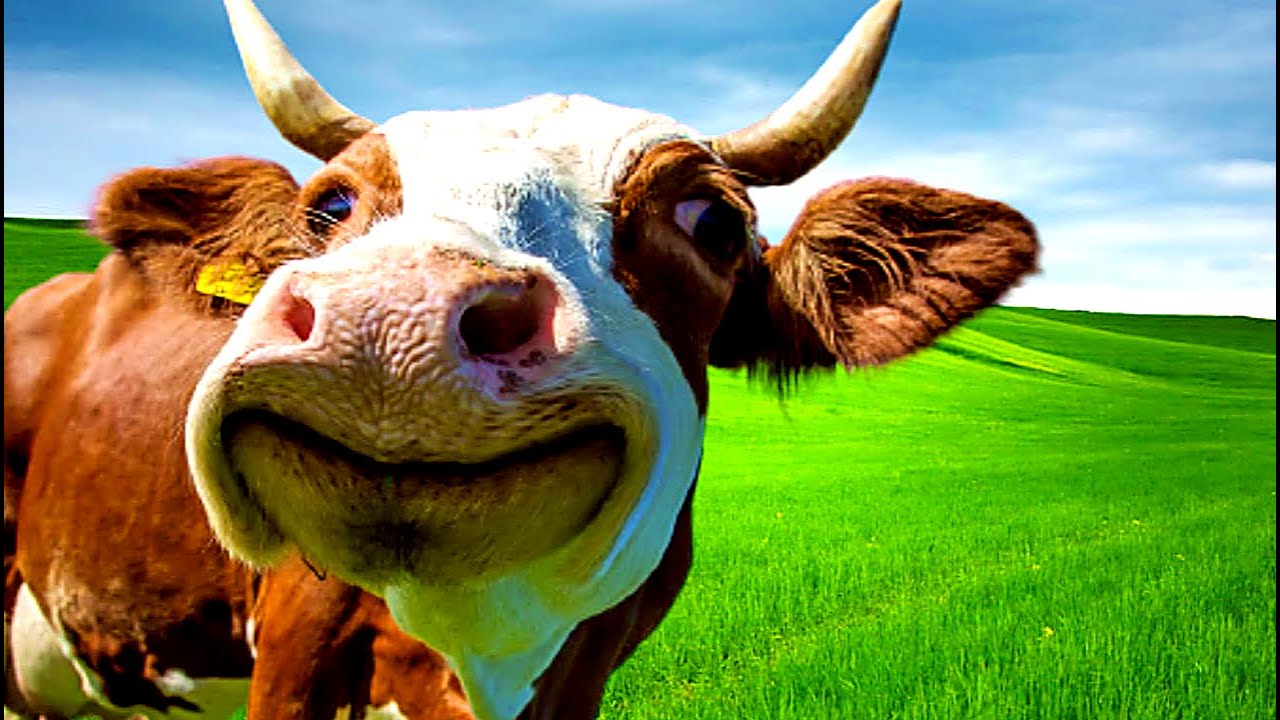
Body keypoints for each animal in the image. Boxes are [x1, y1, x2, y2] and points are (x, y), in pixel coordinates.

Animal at [5, 0, 1039, 718]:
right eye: (329, 207)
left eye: (713, 221)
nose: (392, 314)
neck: (479, 651)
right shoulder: (293, 647)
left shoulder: (590, 666)